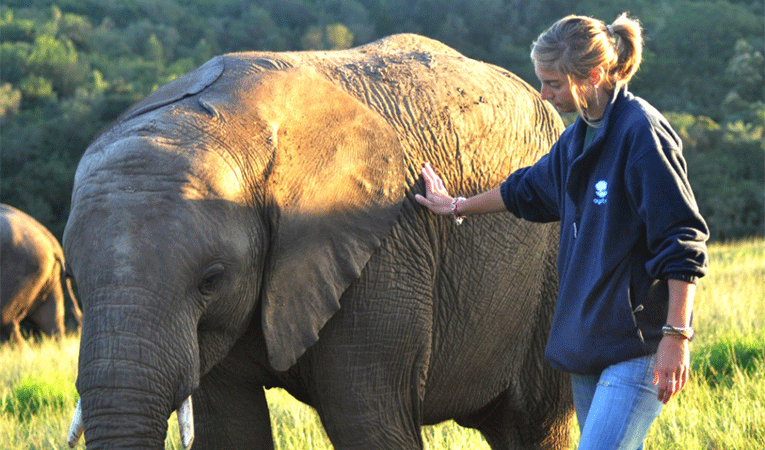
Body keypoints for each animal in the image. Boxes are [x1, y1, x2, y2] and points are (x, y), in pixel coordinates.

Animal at [64, 34, 573, 449]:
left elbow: (365, 422)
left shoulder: (383, 246)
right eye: (76, 281)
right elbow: (229, 427)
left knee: (535, 422)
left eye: (211, 280)